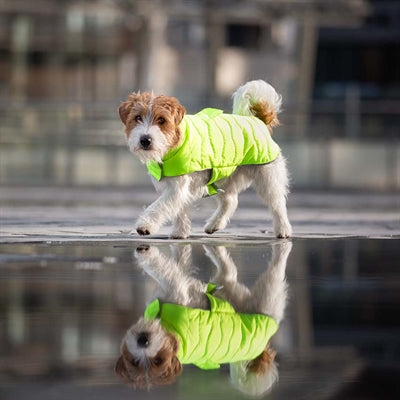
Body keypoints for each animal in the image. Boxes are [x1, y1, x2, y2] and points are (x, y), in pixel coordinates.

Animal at [115, 241, 290, 396]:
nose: (143, 341)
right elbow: (169, 269)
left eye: (158, 361)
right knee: (240, 271)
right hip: (262, 296)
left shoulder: (175, 288)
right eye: (135, 362)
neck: (169, 330)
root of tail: (262, 349)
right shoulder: (177, 289)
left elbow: (171, 266)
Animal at [118, 79, 290, 239]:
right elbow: (178, 209)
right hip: (223, 176)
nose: (145, 139)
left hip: (267, 178)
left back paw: (283, 230)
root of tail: (259, 120)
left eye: (161, 120)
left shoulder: (177, 188)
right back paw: (214, 225)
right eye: (137, 117)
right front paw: (180, 232)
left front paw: (145, 225)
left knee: (277, 204)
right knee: (230, 201)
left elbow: (159, 206)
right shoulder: (177, 188)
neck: (173, 144)